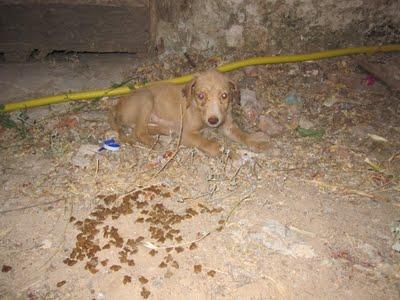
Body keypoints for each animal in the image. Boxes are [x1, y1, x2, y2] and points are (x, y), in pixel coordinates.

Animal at [108, 69, 268, 156]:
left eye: (224, 96)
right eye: (201, 95)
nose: (213, 121)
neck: (198, 109)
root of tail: (117, 105)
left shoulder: (227, 126)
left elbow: (242, 135)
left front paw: (255, 142)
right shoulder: (185, 134)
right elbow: (203, 141)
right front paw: (217, 148)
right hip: (147, 98)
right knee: (139, 131)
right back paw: (154, 142)